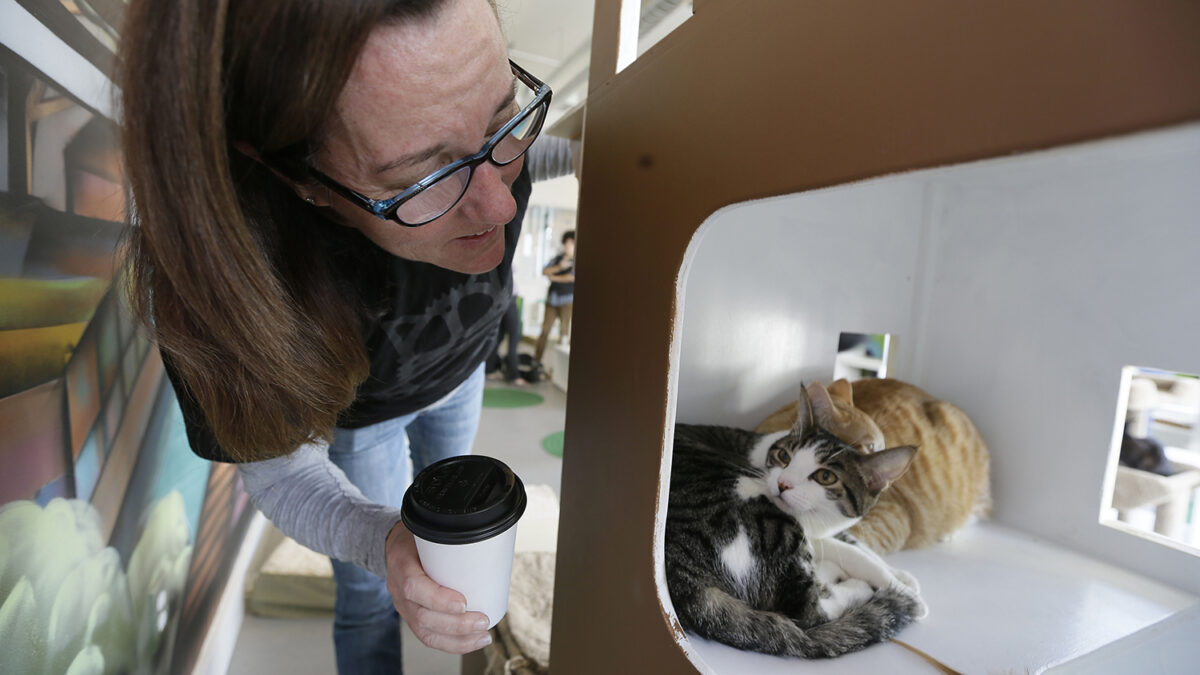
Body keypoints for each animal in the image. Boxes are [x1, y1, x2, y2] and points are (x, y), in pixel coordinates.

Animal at [662, 386, 921, 653]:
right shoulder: (809, 533)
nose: (782, 483)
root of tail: (683, 578)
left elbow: (856, 543)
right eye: (784, 456)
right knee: (809, 612)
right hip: (763, 516)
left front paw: (902, 576)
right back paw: (851, 583)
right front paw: (902, 590)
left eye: (825, 477)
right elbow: (852, 553)